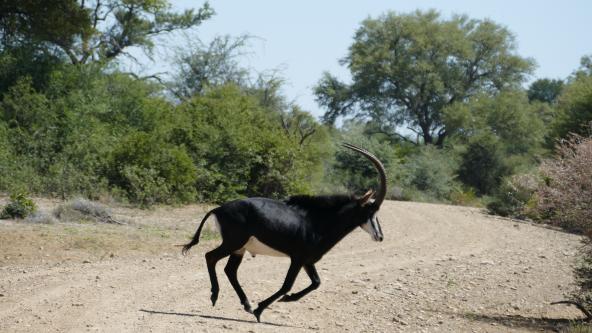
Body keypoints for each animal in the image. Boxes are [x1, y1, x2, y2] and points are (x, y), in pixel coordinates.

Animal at [185, 141, 388, 320]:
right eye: (371, 211)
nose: (380, 236)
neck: (318, 221)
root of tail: (218, 209)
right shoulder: (297, 259)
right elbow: (287, 285)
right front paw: (261, 309)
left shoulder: (307, 261)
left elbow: (316, 283)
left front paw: (285, 301)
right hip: (233, 243)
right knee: (210, 257)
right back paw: (217, 296)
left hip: (239, 249)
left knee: (230, 270)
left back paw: (246, 304)